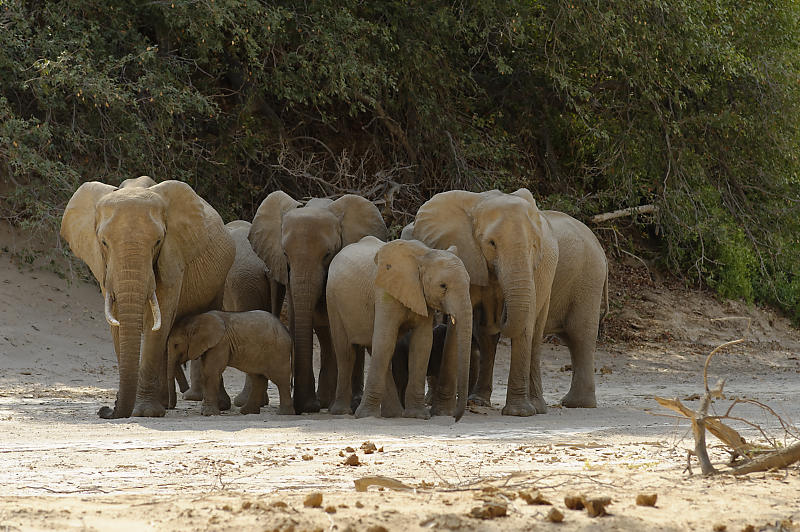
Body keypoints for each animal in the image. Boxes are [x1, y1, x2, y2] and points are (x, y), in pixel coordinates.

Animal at [60, 177, 234, 418]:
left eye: (158, 241)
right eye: (103, 242)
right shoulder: (105, 268)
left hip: (220, 279)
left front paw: (144, 412)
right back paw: (166, 404)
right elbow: (118, 322)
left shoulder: (173, 258)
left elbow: (157, 320)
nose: (106, 409)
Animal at [250, 190, 388, 412]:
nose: (305, 407)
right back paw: (325, 400)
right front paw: (310, 404)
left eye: (327, 254)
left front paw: (317, 404)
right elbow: (298, 321)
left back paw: (346, 401)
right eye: (285, 254)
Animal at [326, 237, 476, 420]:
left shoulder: (421, 296)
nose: (455, 419)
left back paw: (393, 414)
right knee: (346, 353)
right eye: (442, 286)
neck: (423, 256)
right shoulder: (385, 292)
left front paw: (417, 416)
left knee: (373, 348)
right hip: (332, 300)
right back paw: (342, 412)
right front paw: (365, 416)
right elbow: (385, 341)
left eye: (469, 284)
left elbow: (422, 344)